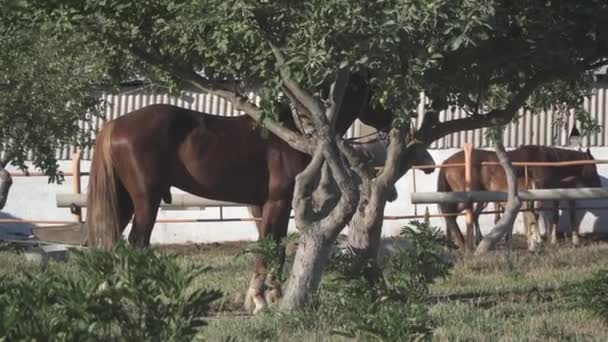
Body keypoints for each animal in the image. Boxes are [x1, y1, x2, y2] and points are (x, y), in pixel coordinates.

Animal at [83, 76, 428, 314]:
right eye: (375, 91)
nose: (402, 121)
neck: (291, 131)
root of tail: (115, 124)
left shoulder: (260, 206)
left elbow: (267, 248)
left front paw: (260, 298)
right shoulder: (277, 202)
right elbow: (273, 248)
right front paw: (267, 299)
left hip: (124, 201)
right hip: (146, 200)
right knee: (135, 243)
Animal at [436, 145, 604, 251]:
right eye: (593, 166)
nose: (599, 184)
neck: (547, 161)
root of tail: (446, 163)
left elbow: (548, 216)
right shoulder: (539, 193)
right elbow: (536, 216)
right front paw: (538, 240)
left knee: (452, 215)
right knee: (451, 215)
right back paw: (463, 243)